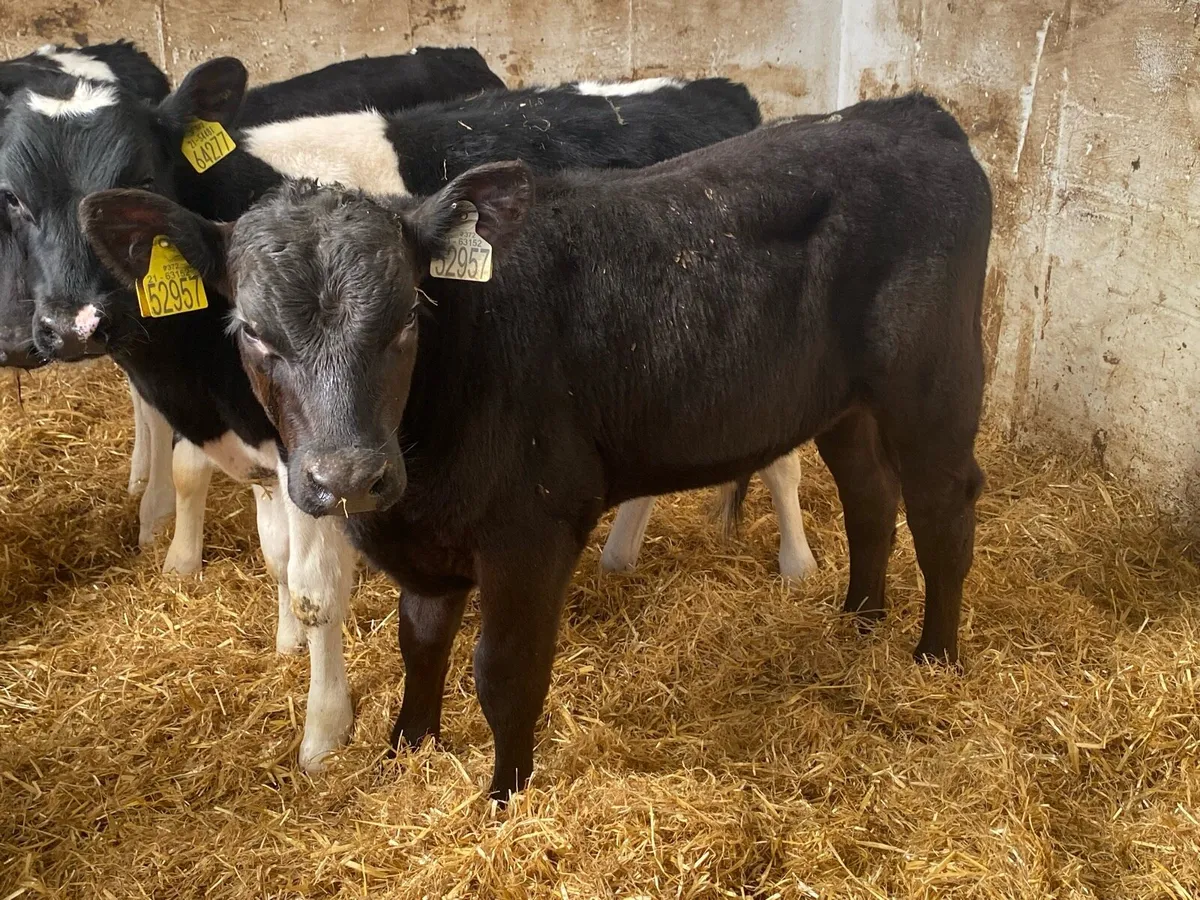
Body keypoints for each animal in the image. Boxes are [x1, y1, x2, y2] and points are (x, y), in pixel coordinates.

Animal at [7, 54, 784, 772]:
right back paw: (621, 555)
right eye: (10, 197)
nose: (73, 325)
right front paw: (284, 643)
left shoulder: (323, 457)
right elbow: (273, 550)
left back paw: (796, 568)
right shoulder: (273, 447)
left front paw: (324, 732)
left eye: (140, 174)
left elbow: (316, 587)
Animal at [80, 92, 993, 801]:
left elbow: (505, 672)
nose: (348, 477)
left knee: (943, 509)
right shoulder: (424, 540)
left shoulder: (532, 529)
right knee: (870, 494)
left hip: (935, 380)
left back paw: (934, 657)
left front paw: (504, 796)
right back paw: (860, 620)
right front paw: (405, 752)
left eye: (408, 316)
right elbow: (421, 643)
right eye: (252, 332)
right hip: (844, 401)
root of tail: (909, 112)